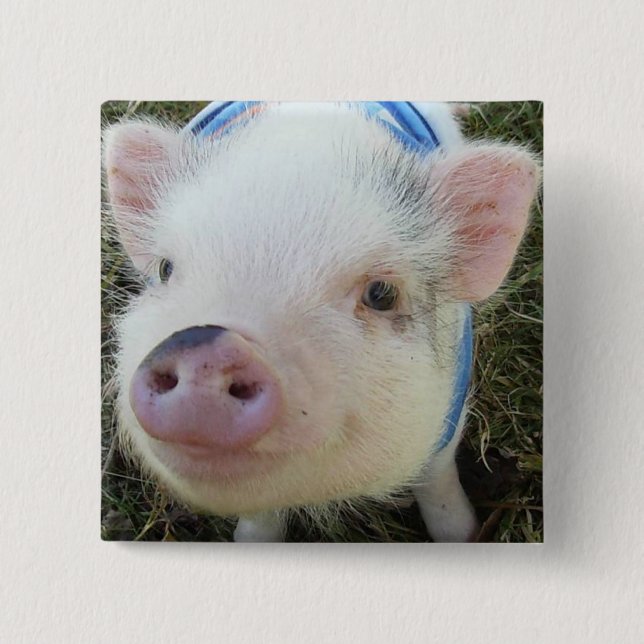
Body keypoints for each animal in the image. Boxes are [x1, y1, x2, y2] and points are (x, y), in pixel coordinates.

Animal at [103, 101, 539, 542]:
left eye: (381, 294)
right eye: (166, 269)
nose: (204, 347)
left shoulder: (448, 410)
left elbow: (439, 481)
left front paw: (467, 534)